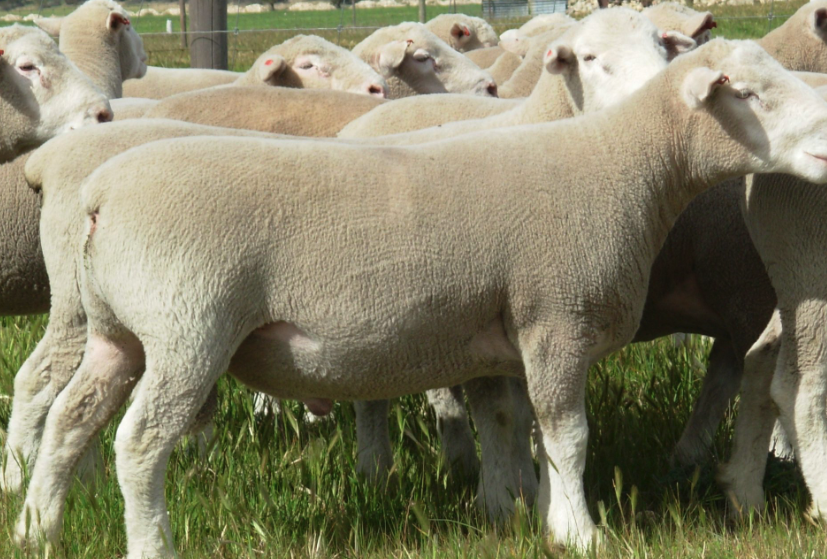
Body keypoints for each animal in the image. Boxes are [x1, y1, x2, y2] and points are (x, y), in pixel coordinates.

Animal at [14, 39, 827, 559]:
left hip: (116, 332)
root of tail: (98, 196)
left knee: (70, 419)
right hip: (187, 329)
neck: (622, 165)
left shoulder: (501, 332)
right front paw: (582, 532)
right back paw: (150, 544)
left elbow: (513, 427)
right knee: (138, 442)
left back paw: (37, 527)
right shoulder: (555, 318)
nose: (824, 145)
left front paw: (525, 513)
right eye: (747, 94)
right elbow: (568, 434)